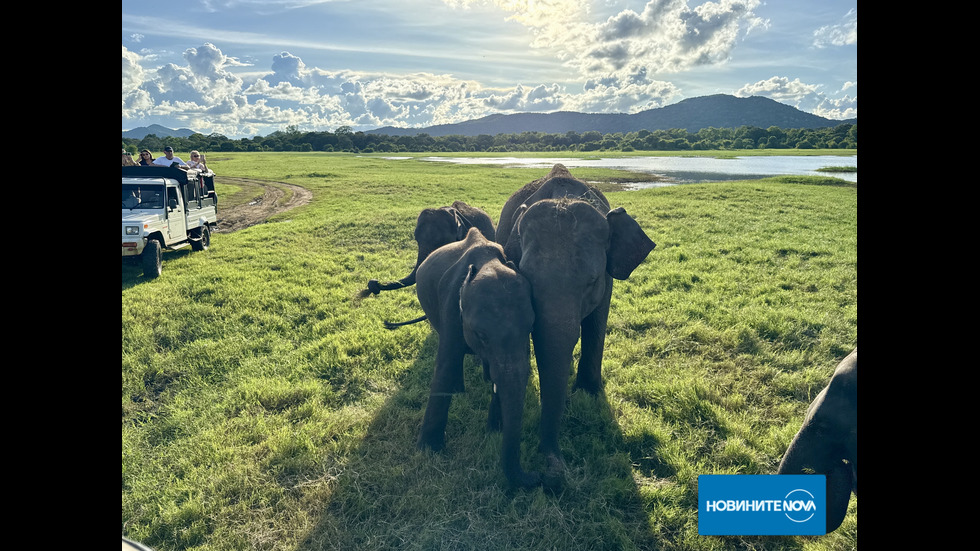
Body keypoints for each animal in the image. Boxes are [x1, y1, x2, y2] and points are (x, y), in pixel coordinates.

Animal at [410, 226, 540, 490]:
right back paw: (458, 389)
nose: (537, 476)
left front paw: (495, 430)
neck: (487, 262)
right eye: (481, 335)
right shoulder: (451, 305)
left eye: (531, 327)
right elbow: (445, 365)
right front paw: (428, 450)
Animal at [502, 165, 656, 488]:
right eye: (525, 276)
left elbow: (598, 321)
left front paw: (589, 393)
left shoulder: (608, 279)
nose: (549, 474)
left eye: (592, 281)